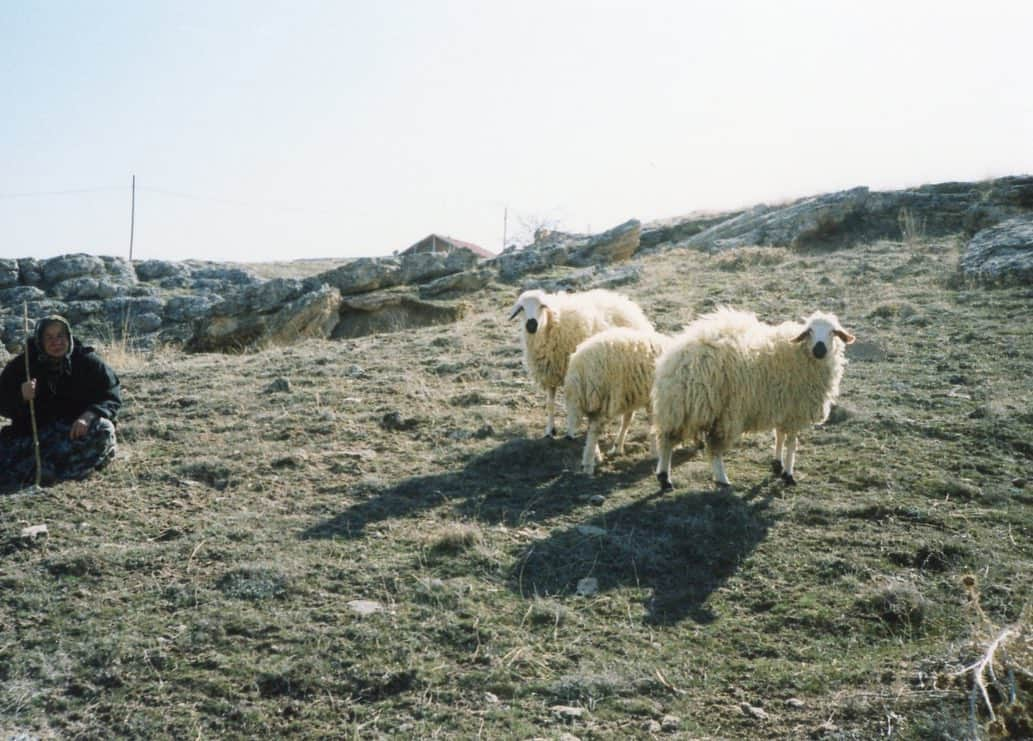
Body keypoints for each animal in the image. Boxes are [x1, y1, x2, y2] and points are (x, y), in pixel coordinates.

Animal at [508, 287, 652, 440]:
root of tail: (628, 304)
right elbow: (550, 404)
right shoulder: (550, 375)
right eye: (521, 308)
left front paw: (570, 431)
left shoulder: (572, 375)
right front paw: (549, 430)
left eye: (542, 306)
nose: (531, 325)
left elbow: (570, 403)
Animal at [566, 328, 669, 473]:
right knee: (594, 431)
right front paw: (655, 452)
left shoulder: (631, 396)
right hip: (602, 397)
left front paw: (618, 447)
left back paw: (595, 456)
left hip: (587, 400)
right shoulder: (652, 399)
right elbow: (652, 423)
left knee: (590, 426)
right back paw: (588, 465)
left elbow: (627, 420)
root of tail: (578, 369)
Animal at [652, 305, 855, 491]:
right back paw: (718, 479)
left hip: (678, 408)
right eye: (809, 331)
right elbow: (792, 443)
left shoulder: (783, 406)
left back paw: (663, 477)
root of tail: (677, 359)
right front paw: (789, 475)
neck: (799, 354)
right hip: (714, 411)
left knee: (665, 439)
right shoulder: (795, 411)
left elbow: (779, 435)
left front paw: (777, 464)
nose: (819, 349)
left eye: (833, 332)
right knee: (709, 447)